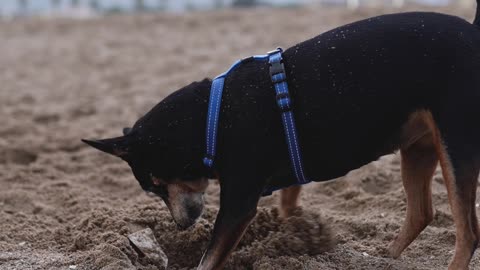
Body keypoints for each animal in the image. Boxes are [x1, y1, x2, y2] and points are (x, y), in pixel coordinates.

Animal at [84, 4, 480, 270]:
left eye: (155, 184)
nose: (181, 225)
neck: (211, 119)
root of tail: (473, 33)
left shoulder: (237, 206)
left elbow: (209, 258)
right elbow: (288, 204)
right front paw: (296, 234)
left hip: (456, 144)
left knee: (467, 233)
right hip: (418, 147)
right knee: (422, 213)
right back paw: (386, 259)